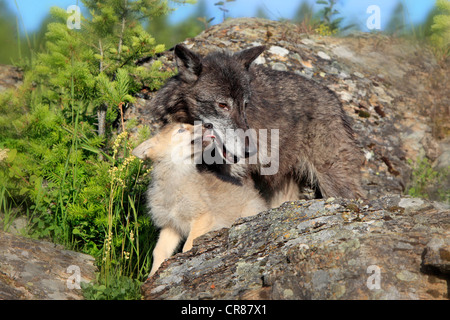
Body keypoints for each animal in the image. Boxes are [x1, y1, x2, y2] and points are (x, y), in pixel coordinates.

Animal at [134, 122, 268, 276]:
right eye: (181, 130)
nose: (209, 124)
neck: (176, 179)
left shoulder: (202, 217)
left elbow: (188, 246)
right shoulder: (171, 227)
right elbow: (159, 252)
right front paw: (152, 276)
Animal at [151, 44, 366, 205]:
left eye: (245, 105)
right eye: (222, 105)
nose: (250, 151)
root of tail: (336, 102)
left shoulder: (239, 177)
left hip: (333, 182)